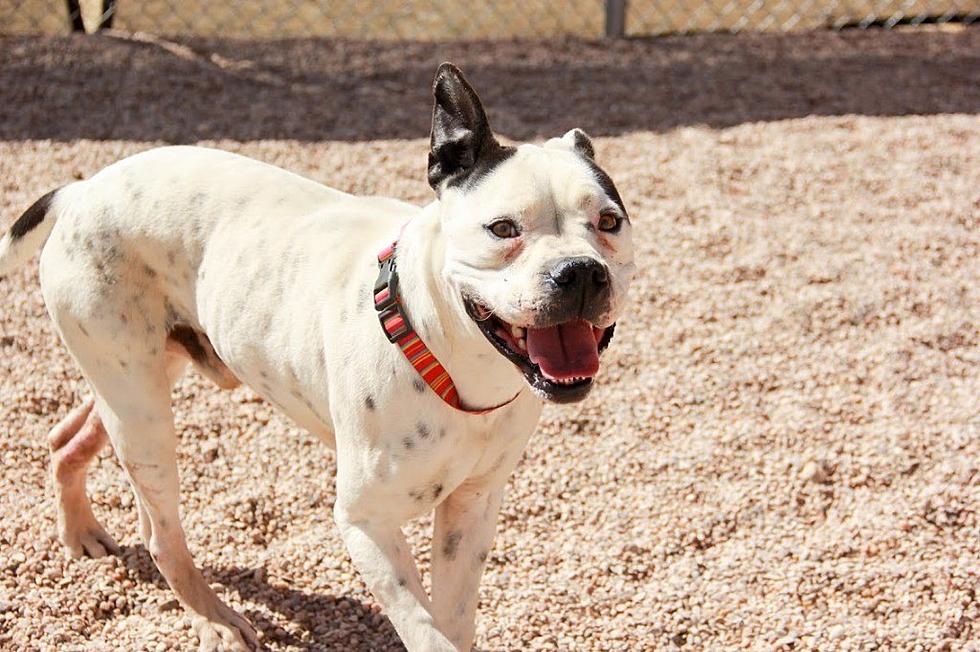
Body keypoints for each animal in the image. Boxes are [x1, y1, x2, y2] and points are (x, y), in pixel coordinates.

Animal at [0, 62, 640, 652]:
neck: (456, 365)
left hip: (139, 376)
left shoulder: (473, 508)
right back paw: (216, 621)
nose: (580, 272)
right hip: (143, 409)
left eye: (610, 221)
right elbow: (427, 632)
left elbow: (454, 623)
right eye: (503, 228)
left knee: (70, 435)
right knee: (161, 533)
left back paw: (82, 532)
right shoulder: (366, 524)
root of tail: (84, 189)